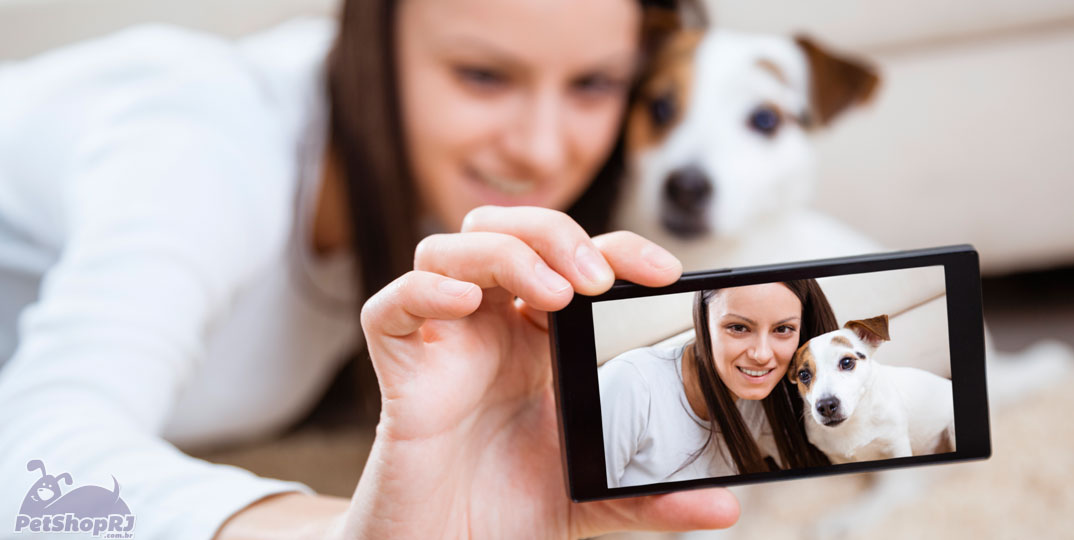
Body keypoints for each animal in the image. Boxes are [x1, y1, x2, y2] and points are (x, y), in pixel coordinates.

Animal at [790, 315, 958, 463]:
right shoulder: (835, 458)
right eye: (803, 374)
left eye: (846, 362)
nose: (825, 406)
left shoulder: (896, 444)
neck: (853, 422)